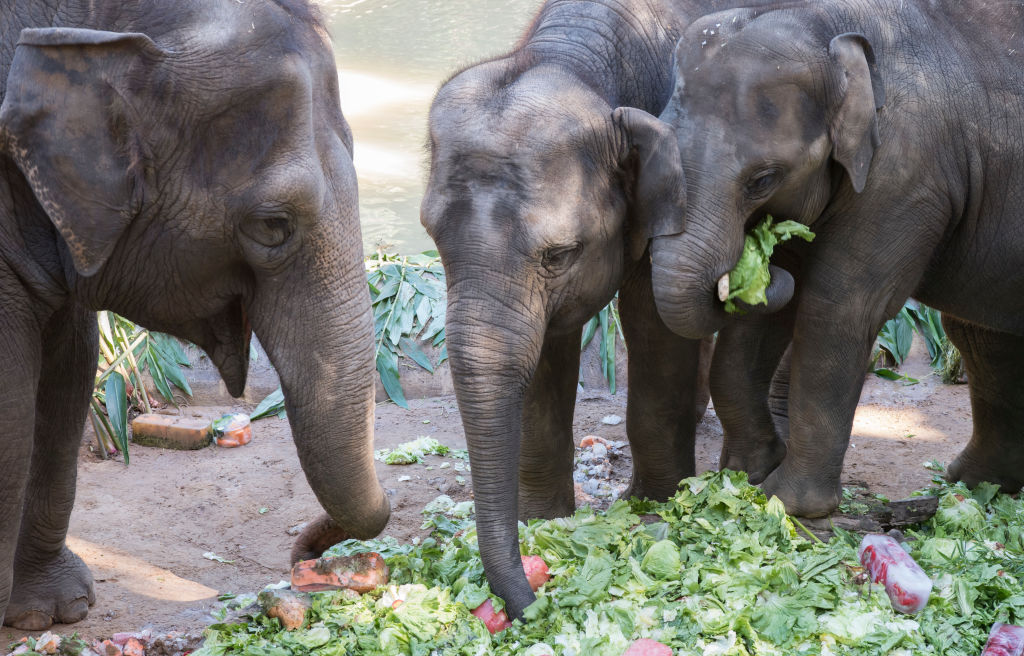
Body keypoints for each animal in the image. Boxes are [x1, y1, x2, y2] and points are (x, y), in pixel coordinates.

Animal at [419, 0, 786, 618]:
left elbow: (653, 318)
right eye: (433, 238)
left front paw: (654, 508)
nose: (532, 603)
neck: (570, 58)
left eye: (558, 254)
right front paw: (544, 521)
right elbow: (547, 351)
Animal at [634, 1, 1024, 515]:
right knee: (981, 335)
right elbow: (764, 320)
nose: (753, 254)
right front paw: (748, 472)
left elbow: (836, 308)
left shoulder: (907, 173)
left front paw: (789, 503)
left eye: (763, 180)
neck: (829, 24)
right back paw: (976, 486)